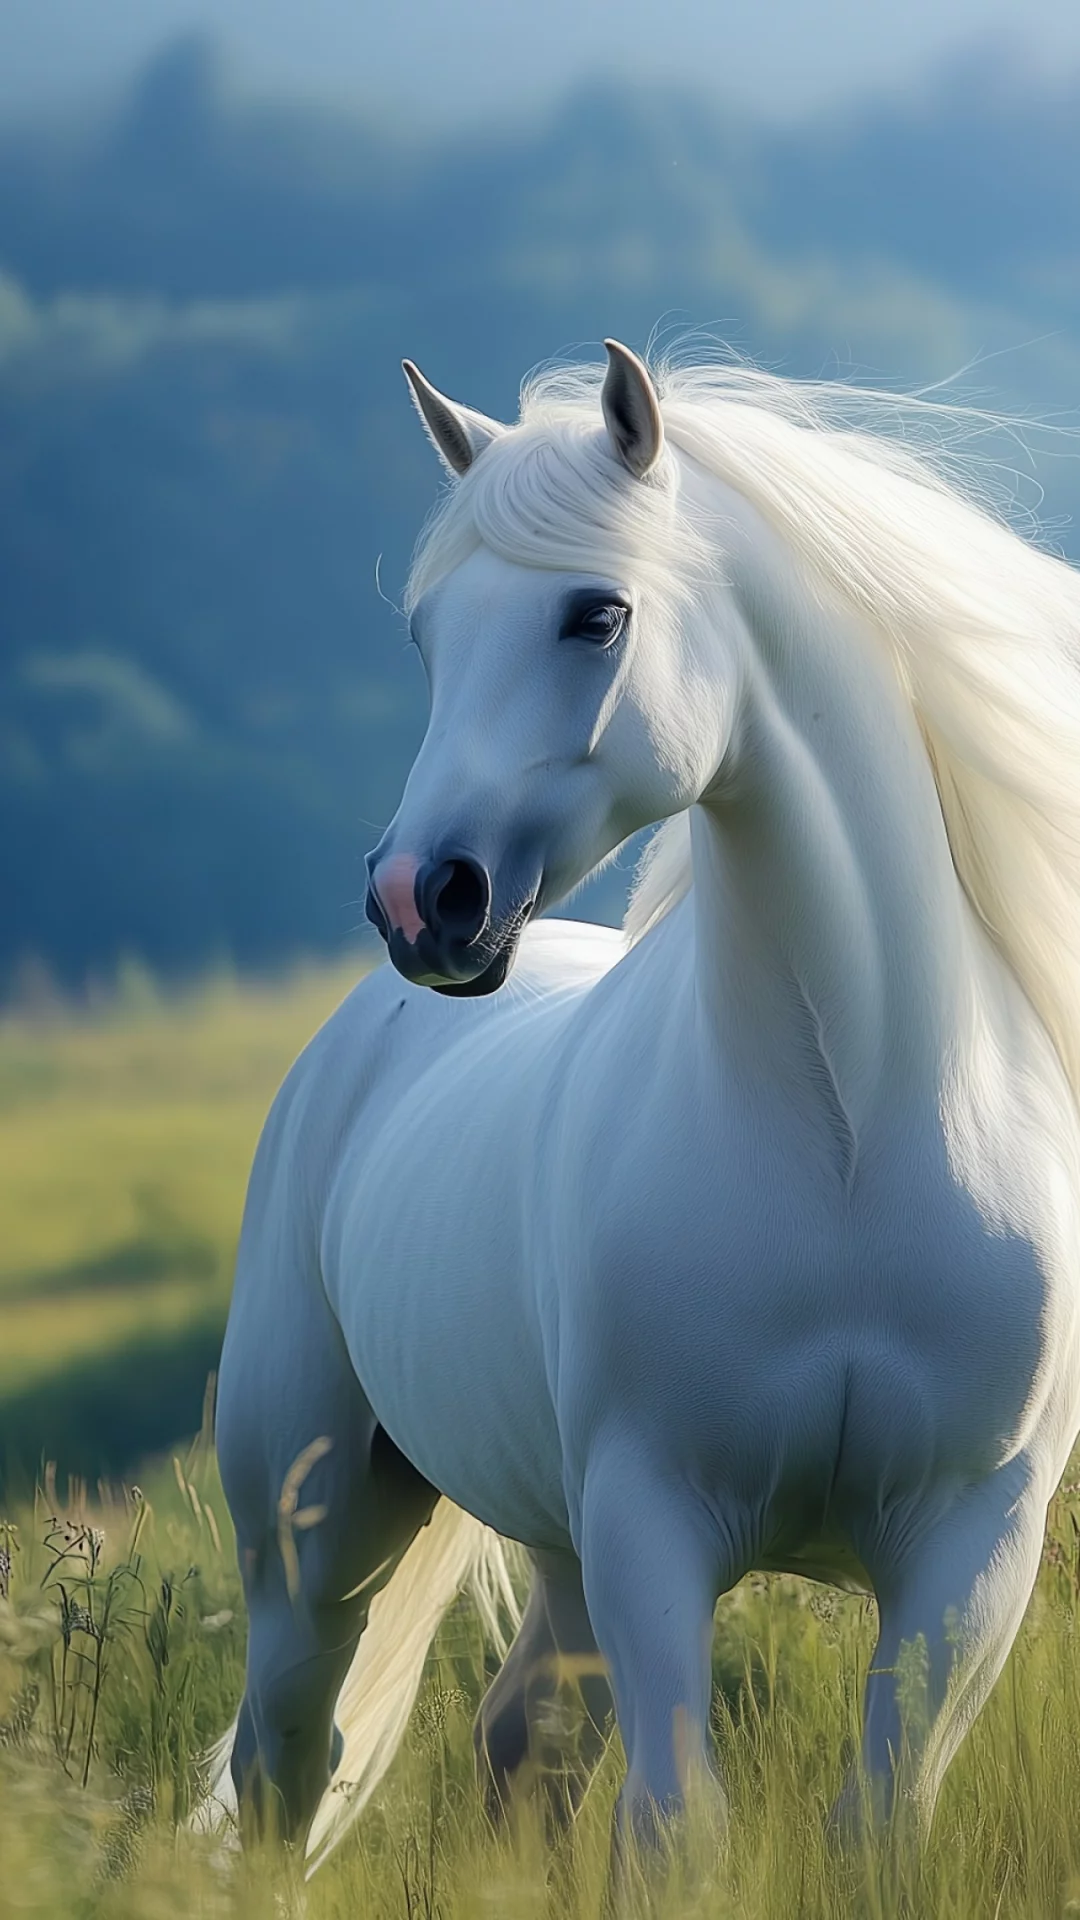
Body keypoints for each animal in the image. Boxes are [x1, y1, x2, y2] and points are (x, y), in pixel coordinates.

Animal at [203, 339, 1080, 1868]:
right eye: (427, 636)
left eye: (595, 614)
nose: (420, 899)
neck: (851, 1139)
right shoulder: (652, 1519)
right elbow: (679, 1828)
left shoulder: (971, 1550)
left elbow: (877, 1822)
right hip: (315, 1548)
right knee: (286, 1770)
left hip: (551, 1553)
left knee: (519, 1749)